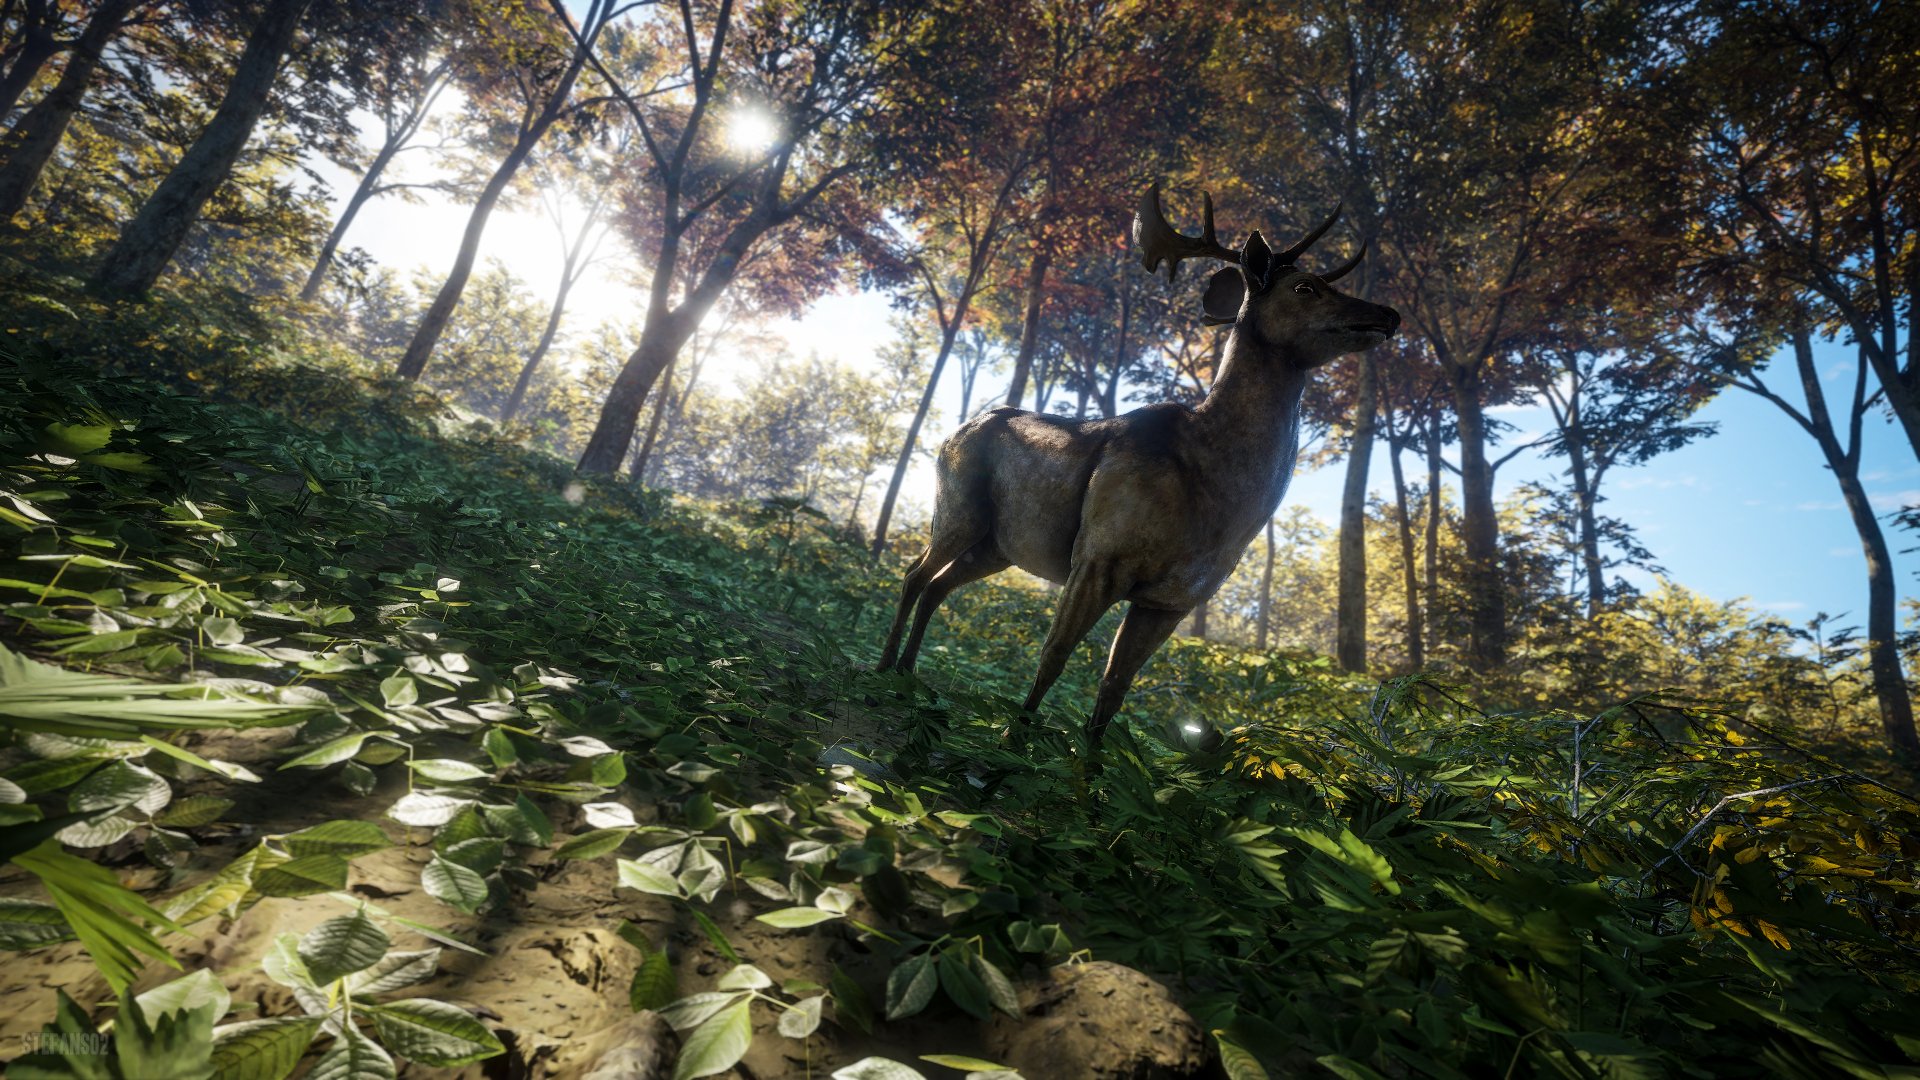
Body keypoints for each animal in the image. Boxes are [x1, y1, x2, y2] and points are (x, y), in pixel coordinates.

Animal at [876, 184, 1400, 754]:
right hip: (959, 506)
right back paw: (881, 672)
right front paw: (1012, 746)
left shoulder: (1175, 600)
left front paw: (1089, 768)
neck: (1217, 494)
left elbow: (1114, 688)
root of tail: (957, 430)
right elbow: (1054, 654)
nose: (1388, 313)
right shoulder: (1099, 556)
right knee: (915, 573)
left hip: (999, 545)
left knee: (939, 585)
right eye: (1306, 287)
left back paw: (907, 674)